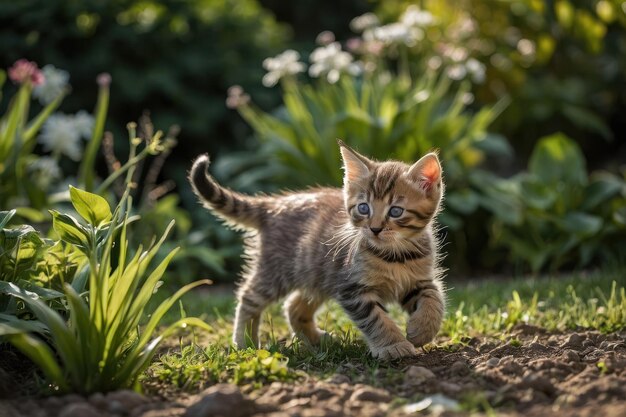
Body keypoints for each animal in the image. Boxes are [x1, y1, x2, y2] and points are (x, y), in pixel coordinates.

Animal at [189, 142, 444, 358]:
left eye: (395, 211)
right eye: (364, 208)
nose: (375, 229)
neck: (396, 255)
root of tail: (276, 204)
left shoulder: (419, 280)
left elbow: (434, 299)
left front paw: (422, 330)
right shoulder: (351, 288)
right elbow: (376, 319)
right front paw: (393, 345)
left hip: (315, 273)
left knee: (293, 305)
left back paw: (317, 340)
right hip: (278, 272)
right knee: (249, 297)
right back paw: (245, 343)